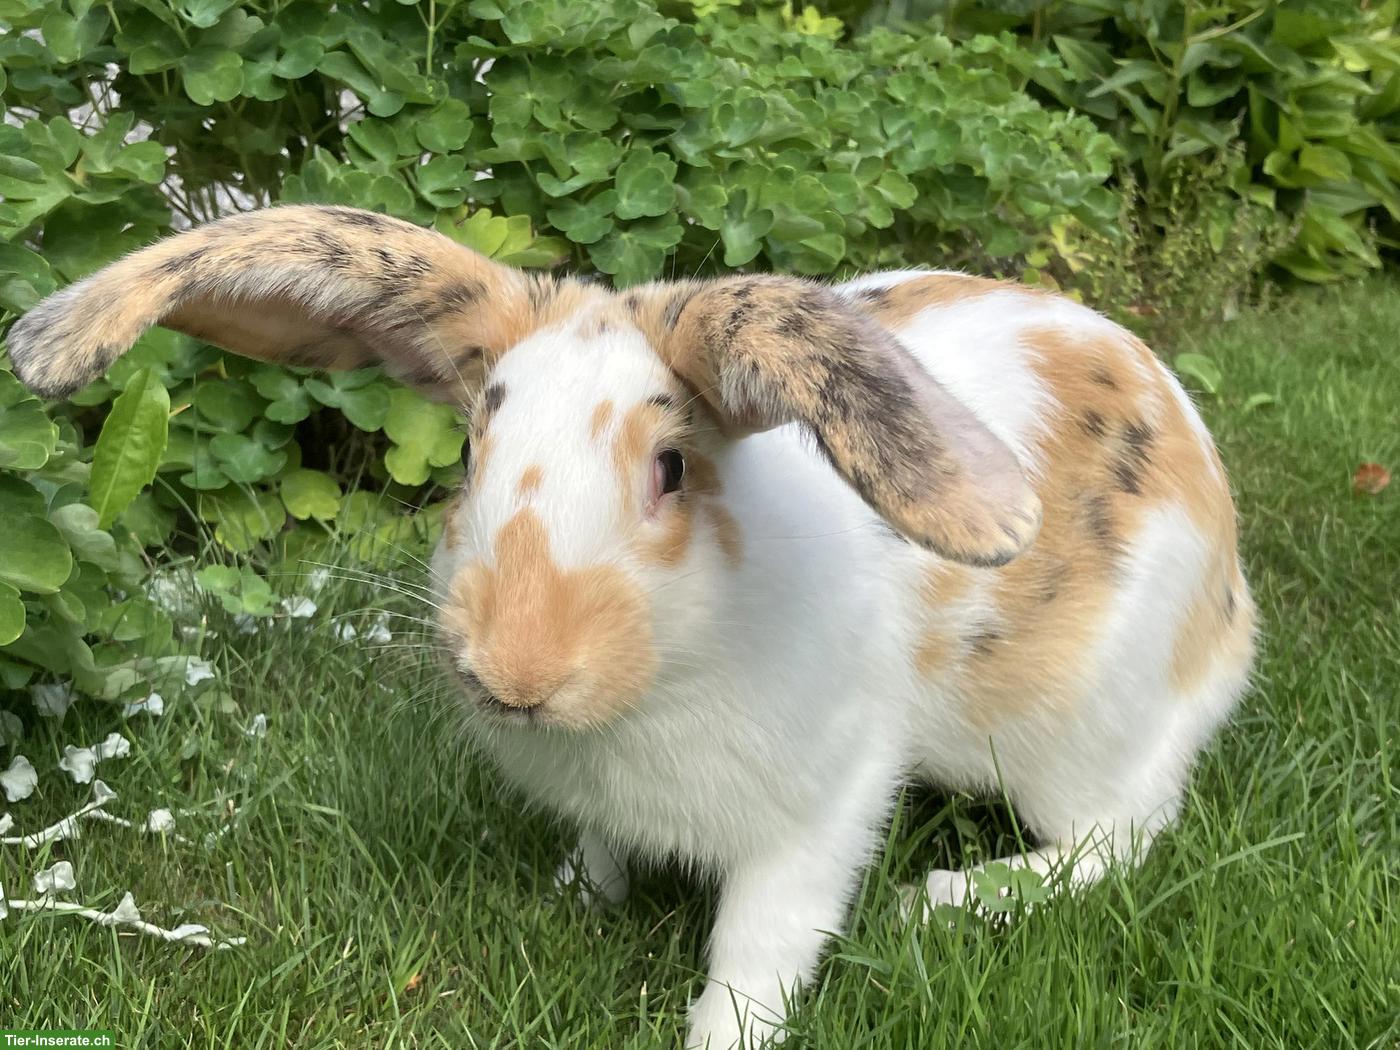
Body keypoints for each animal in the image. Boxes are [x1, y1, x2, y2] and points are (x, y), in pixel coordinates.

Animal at [6, 205, 1256, 1049]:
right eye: (471, 453)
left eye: (670, 469)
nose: (517, 671)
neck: (658, 685)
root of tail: (1228, 611)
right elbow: (605, 851)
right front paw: (579, 893)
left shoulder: (819, 814)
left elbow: (759, 945)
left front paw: (720, 1034)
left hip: (1075, 735)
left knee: (1124, 832)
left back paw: (953, 897)